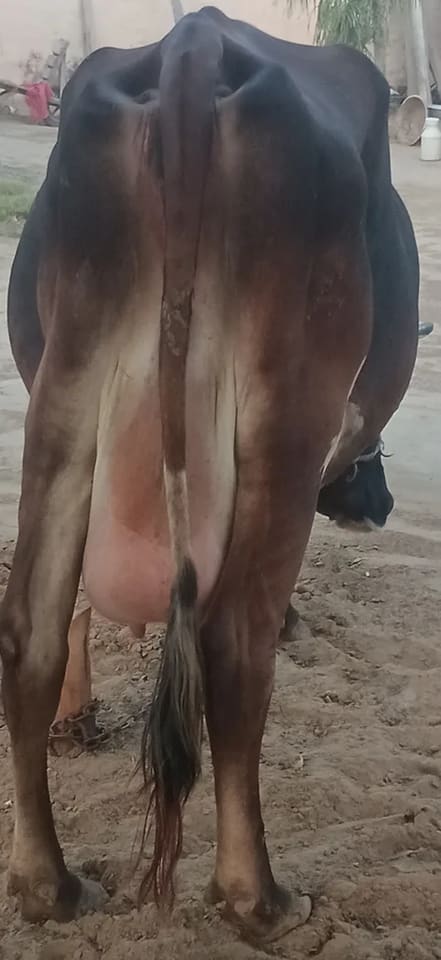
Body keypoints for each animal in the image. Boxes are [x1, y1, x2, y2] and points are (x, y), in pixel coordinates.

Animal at [1, 8, 419, 941]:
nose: (377, 504)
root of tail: (198, 41)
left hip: (66, 380)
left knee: (29, 630)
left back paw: (48, 885)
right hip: (281, 407)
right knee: (233, 646)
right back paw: (257, 899)